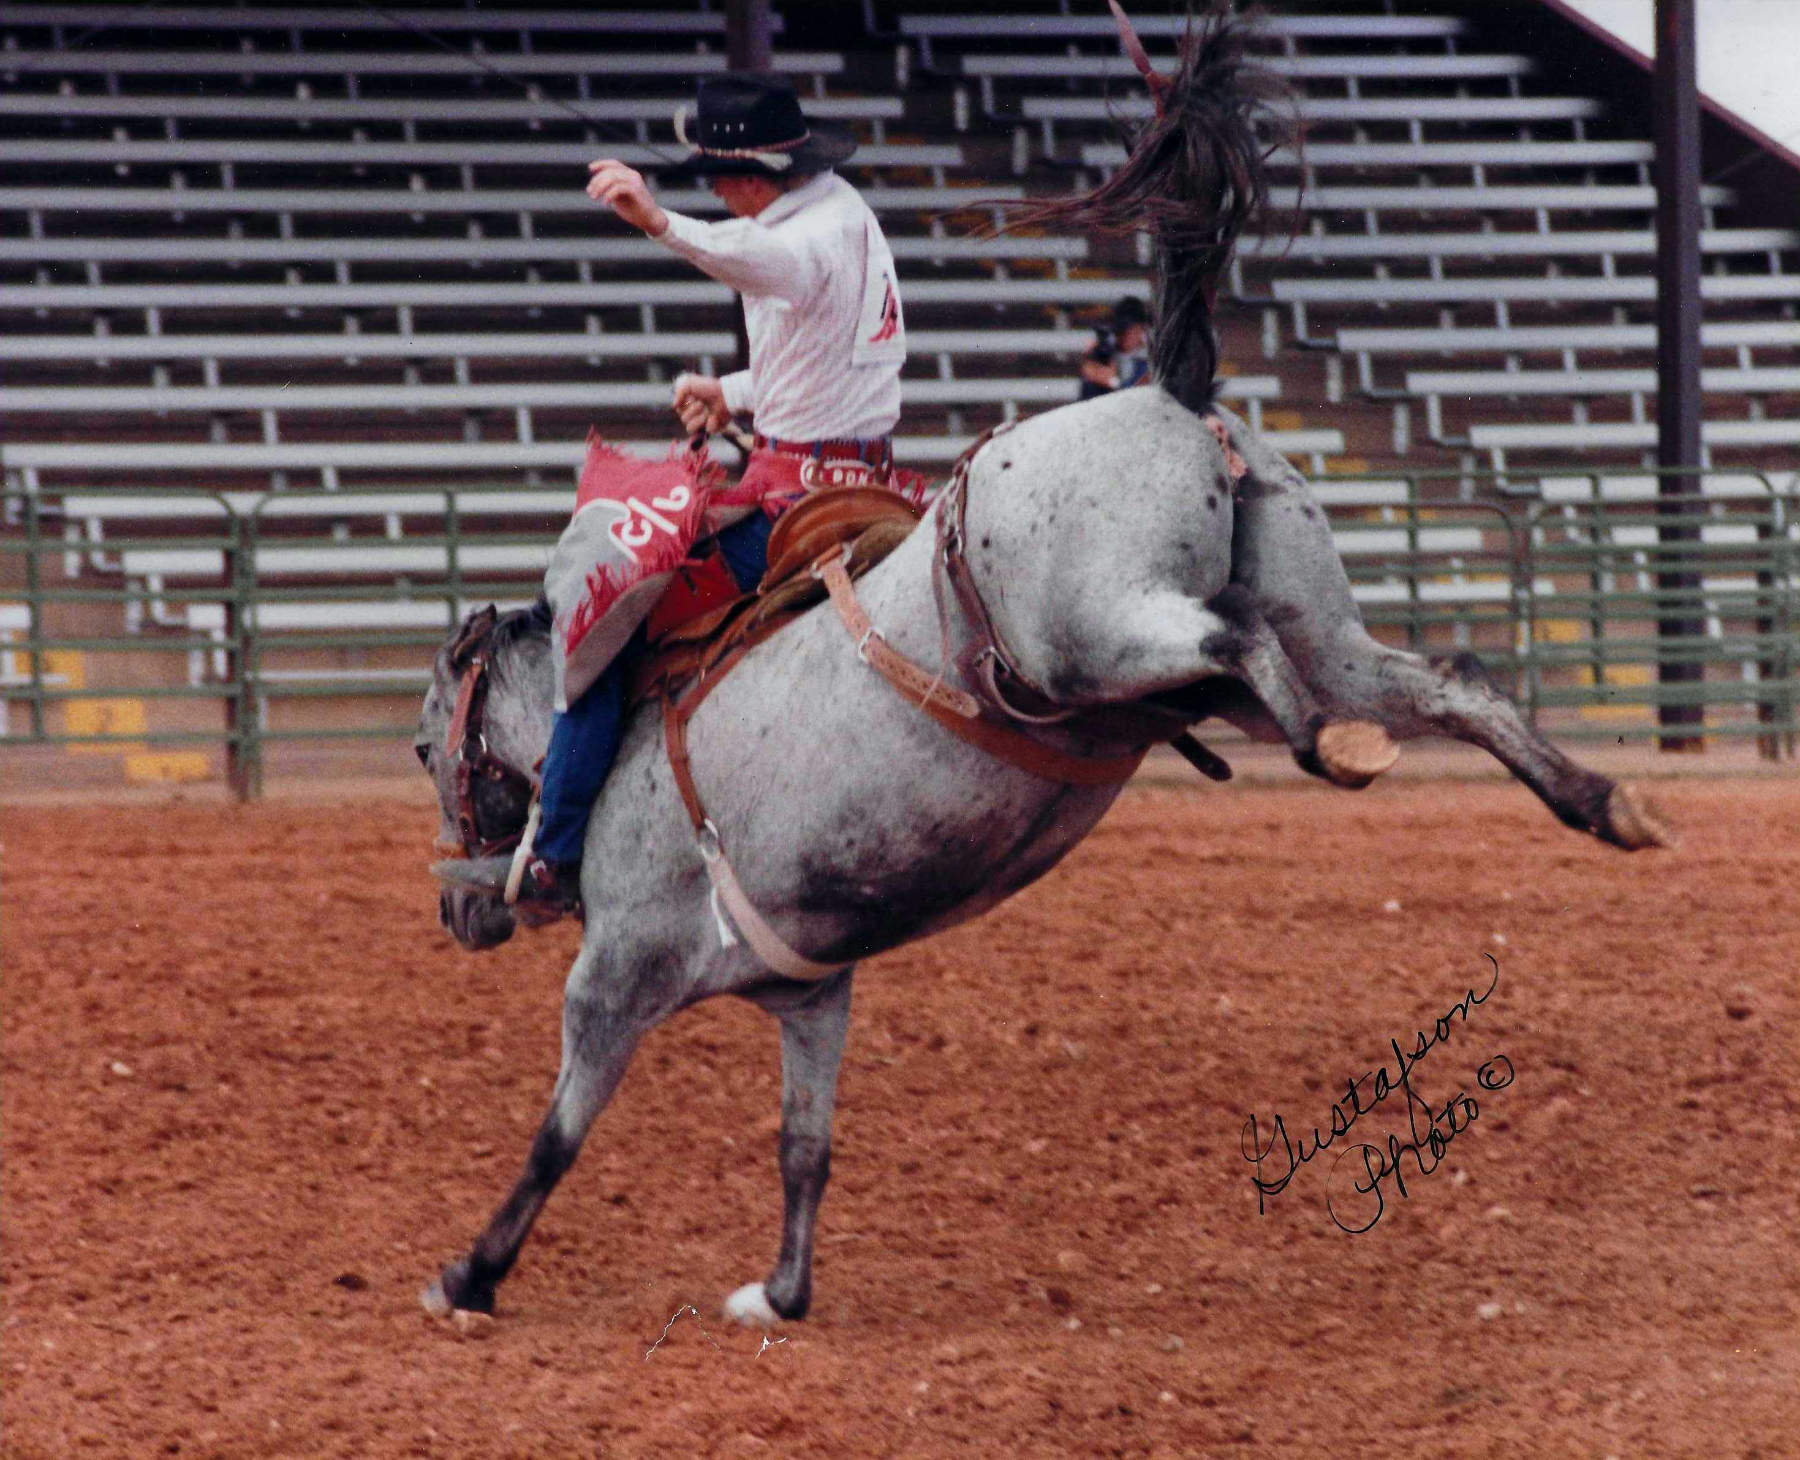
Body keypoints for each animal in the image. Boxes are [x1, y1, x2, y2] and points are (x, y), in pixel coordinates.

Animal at [412, 7, 1667, 1330]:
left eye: (427, 742)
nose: (460, 909)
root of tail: (1168, 393)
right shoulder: (813, 992)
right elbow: (805, 1145)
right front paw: (782, 1291)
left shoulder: (618, 971)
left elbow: (557, 1136)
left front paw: (469, 1274)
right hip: (1311, 629)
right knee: (1442, 682)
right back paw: (1599, 801)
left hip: (1101, 631)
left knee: (1247, 644)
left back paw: (1353, 752)